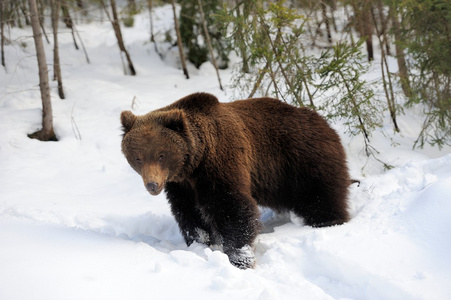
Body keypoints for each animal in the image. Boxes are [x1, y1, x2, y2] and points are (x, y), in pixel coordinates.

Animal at [122, 92, 352, 270]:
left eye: (161, 155)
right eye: (138, 157)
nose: (152, 185)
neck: (195, 162)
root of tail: (325, 122)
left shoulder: (221, 162)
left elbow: (232, 207)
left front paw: (240, 258)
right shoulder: (181, 185)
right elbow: (189, 214)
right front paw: (200, 243)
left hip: (302, 160)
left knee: (321, 196)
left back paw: (327, 222)